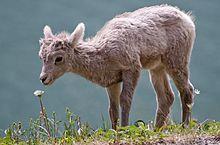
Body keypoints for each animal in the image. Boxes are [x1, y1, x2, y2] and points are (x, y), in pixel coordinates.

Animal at [38, 4, 196, 129]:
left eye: (59, 58)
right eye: (41, 56)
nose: (43, 78)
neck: (103, 55)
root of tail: (188, 20)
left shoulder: (132, 68)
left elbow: (125, 100)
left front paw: (124, 129)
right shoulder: (111, 80)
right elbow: (112, 108)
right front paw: (115, 131)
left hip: (176, 60)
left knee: (187, 90)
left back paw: (184, 126)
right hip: (157, 67)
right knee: (166, 97)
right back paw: (157, 129)